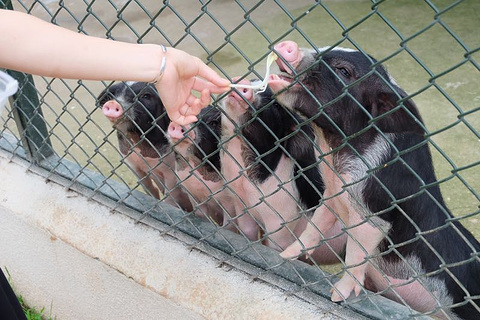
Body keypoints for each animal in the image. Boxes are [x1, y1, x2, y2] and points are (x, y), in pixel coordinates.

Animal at [97, 81, 193, 211]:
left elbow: (170, 194)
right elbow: (148, 187)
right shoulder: (132, 164)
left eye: (146, 96)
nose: (113, 102)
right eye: (114, 94)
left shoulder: (171, 170)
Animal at [219, 79, 346, 262]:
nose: (243, 83)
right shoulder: (239, 202)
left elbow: (274, 246)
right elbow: (247, 232)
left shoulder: (283, 217)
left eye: (276, 105)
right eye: (253, 81)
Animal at [268, 41, 480, 318]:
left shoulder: (374, 211)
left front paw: (337, 296)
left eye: (344, 71)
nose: (287, 44)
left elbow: (356, 253)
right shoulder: (332, 193)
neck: (334, 153)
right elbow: (314, 227)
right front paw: (285, 256)